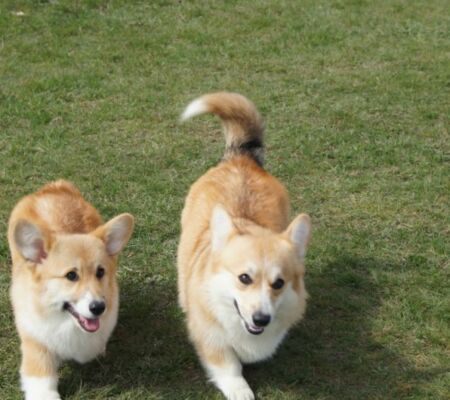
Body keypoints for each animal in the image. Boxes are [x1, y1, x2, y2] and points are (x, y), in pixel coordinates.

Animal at [7, 180, 134, 400]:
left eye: (100, 272)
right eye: (71, 276)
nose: (98, 308)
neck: (66, 323)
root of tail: (56, 187)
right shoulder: (35, 342)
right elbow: (42, 381)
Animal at [178, 92, 311, 400]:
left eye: (279, 284)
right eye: (244, 278)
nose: (262, 319)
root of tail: (241, 158)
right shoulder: (210, 338)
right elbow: (229, 367)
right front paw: (241, 391)